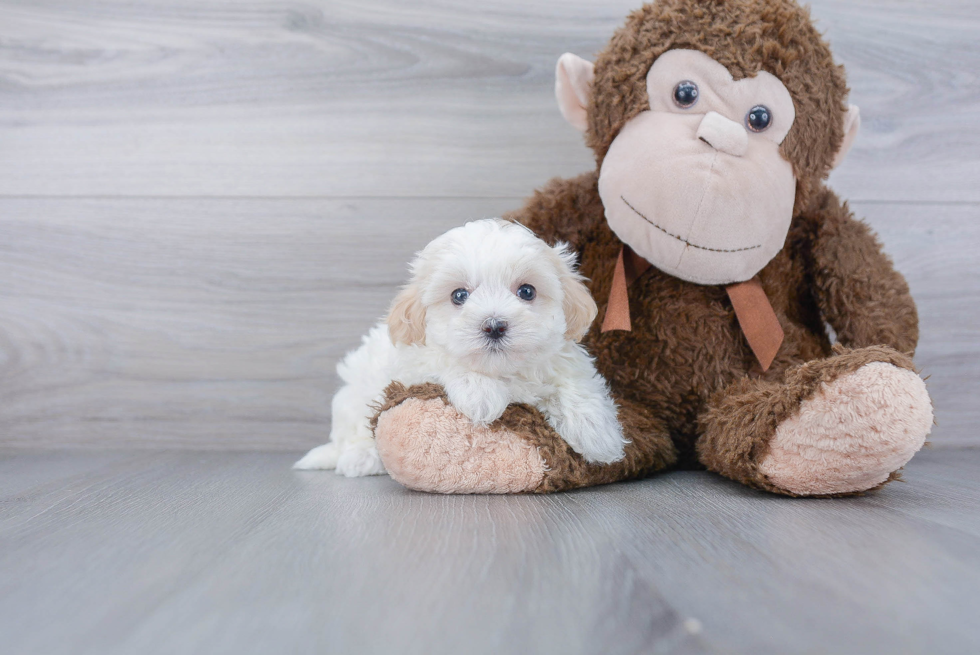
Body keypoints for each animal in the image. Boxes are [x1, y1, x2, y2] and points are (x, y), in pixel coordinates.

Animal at [292, 219, 628, 476]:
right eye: (459, 295)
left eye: (527, 291)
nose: (494, 326)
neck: (503, 371)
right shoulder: (414, 362)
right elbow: (449, 362)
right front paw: (480, 393)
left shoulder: (563, 358)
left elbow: (575, 384)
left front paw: (598, 433)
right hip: (354, 396)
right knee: (356, 430)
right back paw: (361, 458)